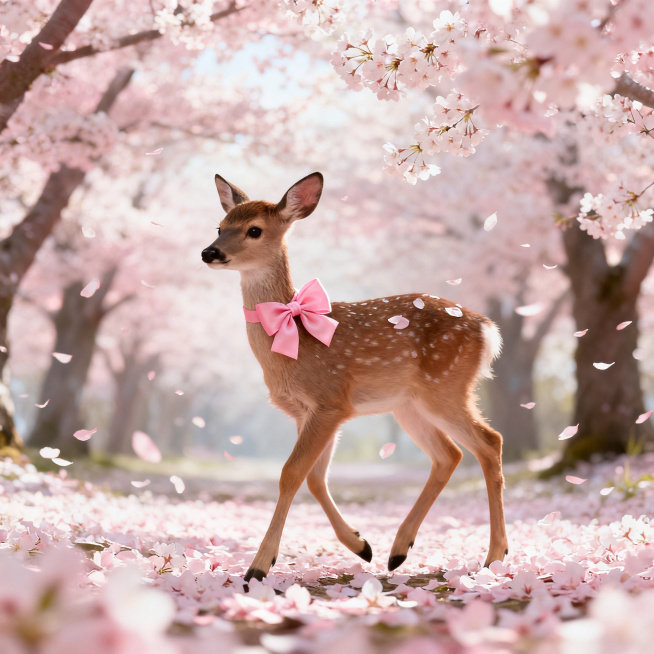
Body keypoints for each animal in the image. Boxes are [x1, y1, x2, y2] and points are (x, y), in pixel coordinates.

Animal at [201, 172, 508, 583]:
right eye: (220, 226)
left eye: (254, 230)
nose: (209, 253)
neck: (291, 341)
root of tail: (486, 328)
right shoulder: (307, 411)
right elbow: (315, 478)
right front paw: (361, 545)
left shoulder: (330, 400)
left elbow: (290, 474)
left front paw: (259, 565)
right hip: (409, 404)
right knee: (449, 454)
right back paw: (398, 551)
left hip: (446, 386)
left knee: (490, 442)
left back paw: (494, 557)